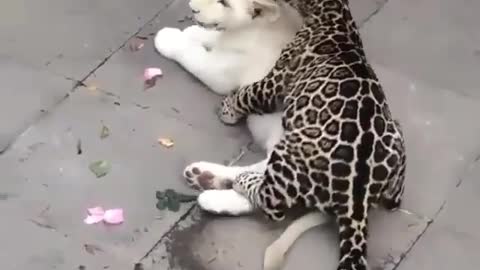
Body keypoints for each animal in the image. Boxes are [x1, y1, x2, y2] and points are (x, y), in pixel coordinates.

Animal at [184, 0, 404, 270]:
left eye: (224, 2)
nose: (192, 9)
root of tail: (358, 198)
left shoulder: (267, 81)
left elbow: (235, 86)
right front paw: (193, 32)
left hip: (290, 152)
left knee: (271, 202)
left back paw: (219, 190)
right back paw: (205, 177)